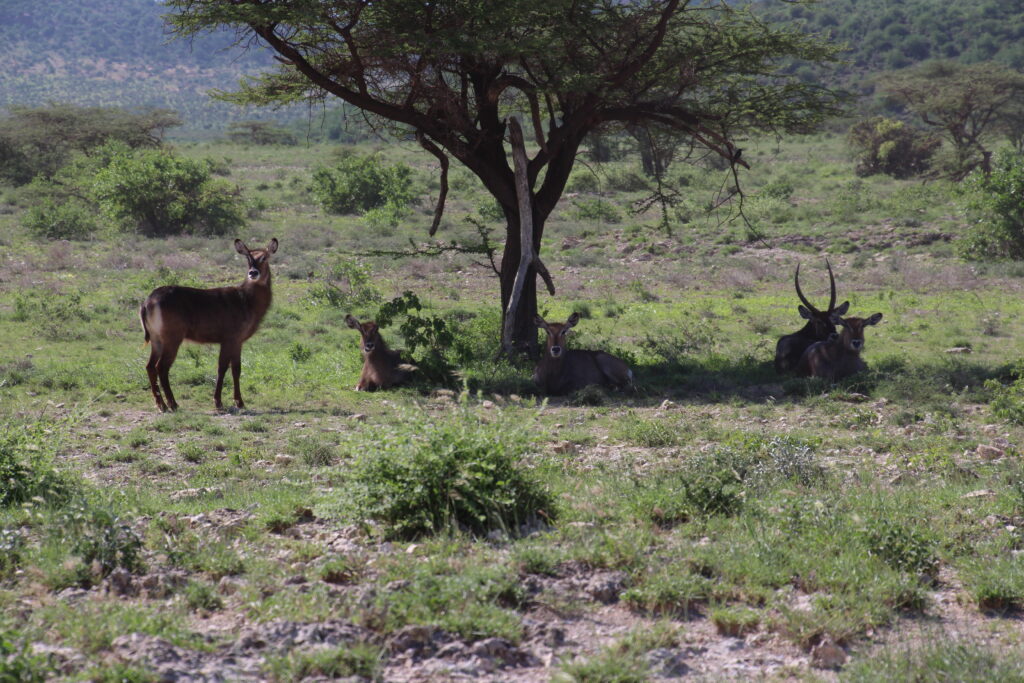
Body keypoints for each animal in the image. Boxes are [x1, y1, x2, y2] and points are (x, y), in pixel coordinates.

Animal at [140, 239, 278, 411]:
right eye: (248, 258)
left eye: (264, 257)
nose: (253, 273)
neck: (246, 300)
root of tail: (147, 302)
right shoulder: (229, 339)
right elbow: (222, 368)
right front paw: (218, 402)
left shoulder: (238, 341)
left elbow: (236, 369)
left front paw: (239, 402)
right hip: (172, 338)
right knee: (162, 367)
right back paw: (173, 404)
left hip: (156, 338)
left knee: (150, 366)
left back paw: (161, 404)